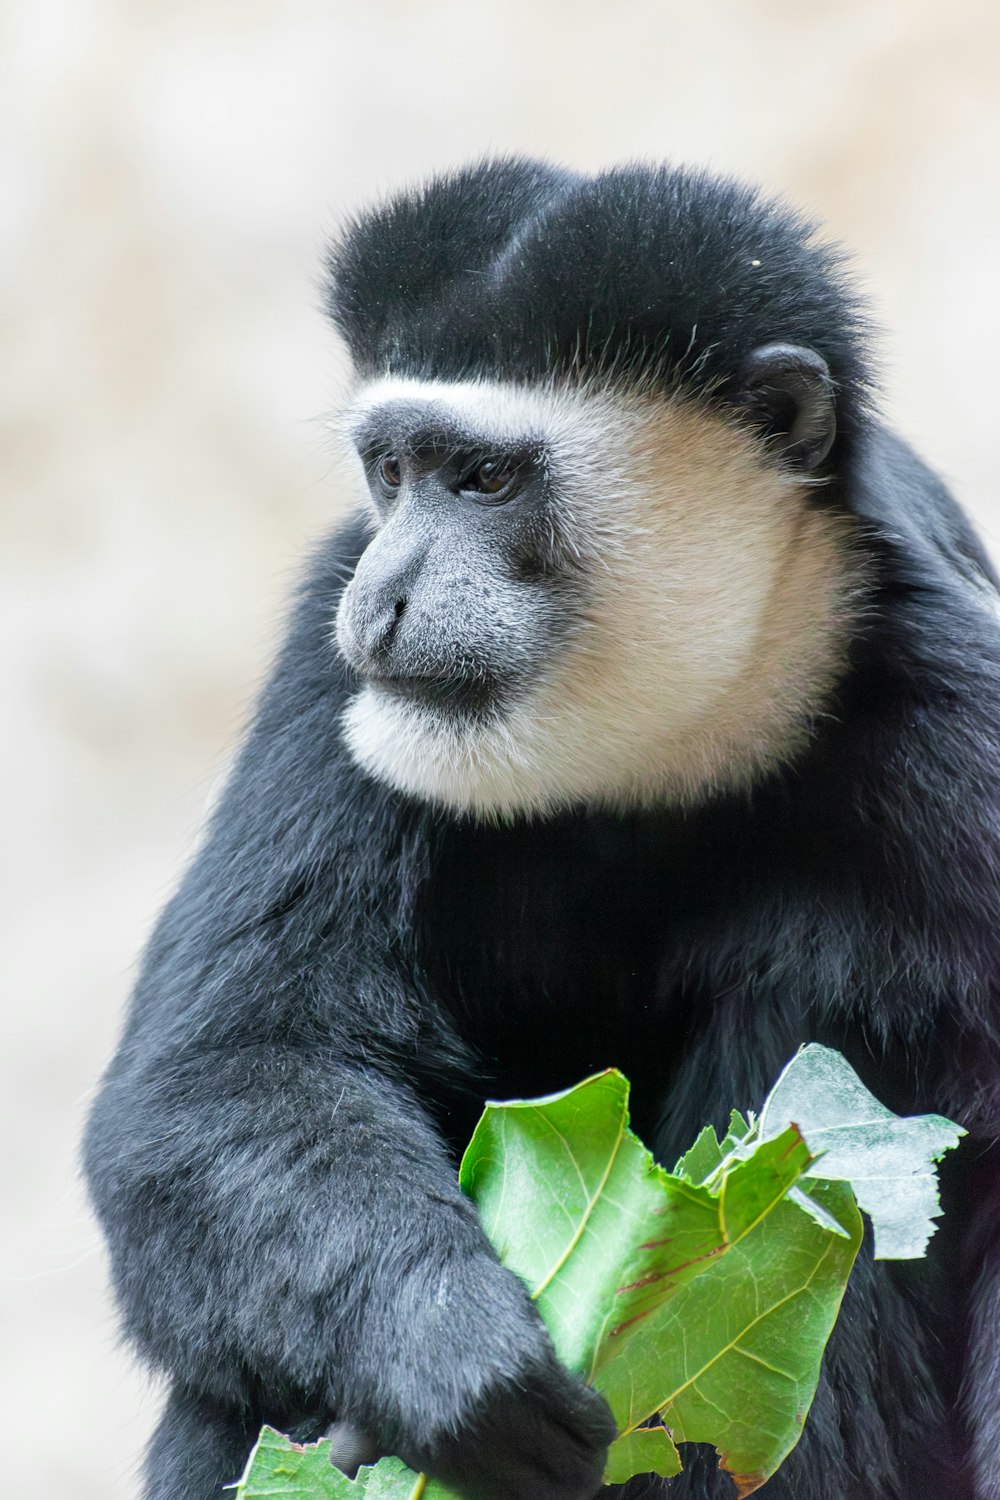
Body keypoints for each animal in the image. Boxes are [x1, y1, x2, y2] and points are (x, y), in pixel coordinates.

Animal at [83, 161, 1000, 1500]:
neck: (670, 745)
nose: (385, 598)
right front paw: (449, 1357)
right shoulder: (329, 678)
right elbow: (223, 1072)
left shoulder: (962, 715)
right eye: (393, 472)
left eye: (483, 480)